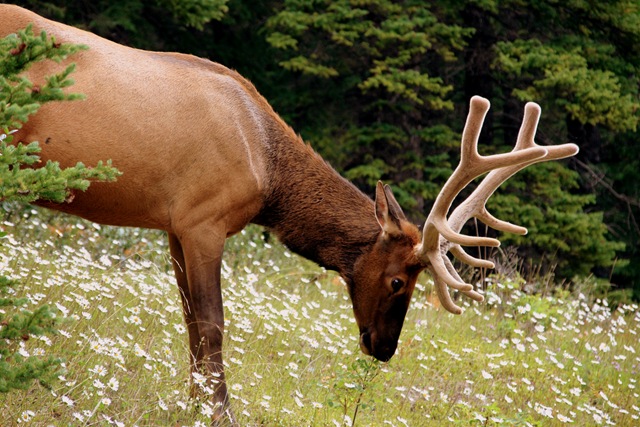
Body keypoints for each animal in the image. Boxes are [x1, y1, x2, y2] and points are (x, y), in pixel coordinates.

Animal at [1, 4, 580, 424]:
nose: (384, 348)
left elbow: (189, 324)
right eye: (399, 281)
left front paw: (192, 404)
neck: (268, 171)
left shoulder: (172, 226)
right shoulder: (203, 220)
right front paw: (219, 413)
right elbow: (212, 324)